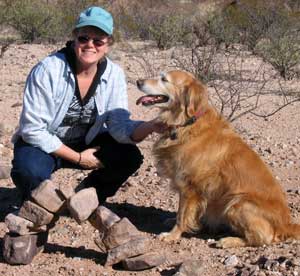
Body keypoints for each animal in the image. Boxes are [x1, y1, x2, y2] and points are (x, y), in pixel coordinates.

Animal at [137, 70, 300, 247]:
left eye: (164, 79)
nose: (138, 81)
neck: (188, 122)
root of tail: (286, 224)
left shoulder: (190, 187)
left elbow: (182, 215)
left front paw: (172, 235)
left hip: (237, 203)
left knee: (263, 237)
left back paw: (229, 240)